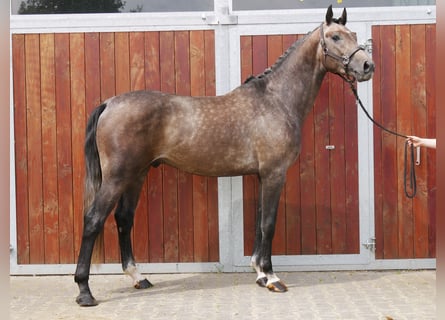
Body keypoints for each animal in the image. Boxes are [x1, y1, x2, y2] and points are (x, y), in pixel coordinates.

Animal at [74, 4, 372, 304]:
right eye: (335, 36)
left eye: (354, 34)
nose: (367, 66)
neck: (276, 100)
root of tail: (109, 103)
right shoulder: (274, 174)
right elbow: (269, 224)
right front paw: (272, 278)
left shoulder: (263, 175)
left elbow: (259, 222)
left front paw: (260, 274)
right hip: (117, 177)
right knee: (93, 220)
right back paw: (84, 290)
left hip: (136, 174)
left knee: (124, 219)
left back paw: (139, 278)